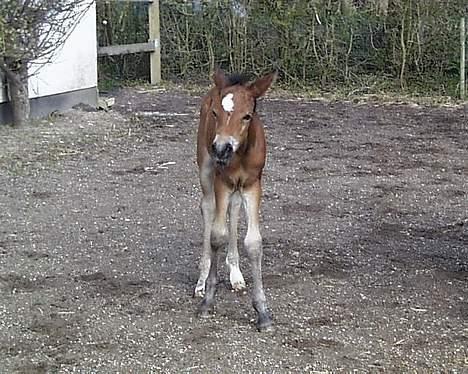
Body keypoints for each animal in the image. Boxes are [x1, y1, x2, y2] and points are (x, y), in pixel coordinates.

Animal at [195, 69, 276, 330]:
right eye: (215, 113)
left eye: (247, 116)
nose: (222, 148)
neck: (239, 155)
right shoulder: (222, 180)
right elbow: (216, 235)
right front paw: (208, 301)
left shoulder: (252, 184)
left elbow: (253, 242)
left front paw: (263, 312)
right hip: (206, 167)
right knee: (208, 208)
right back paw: (201, 281)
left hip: (237, 187)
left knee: (234, 209)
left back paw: (236, 274)